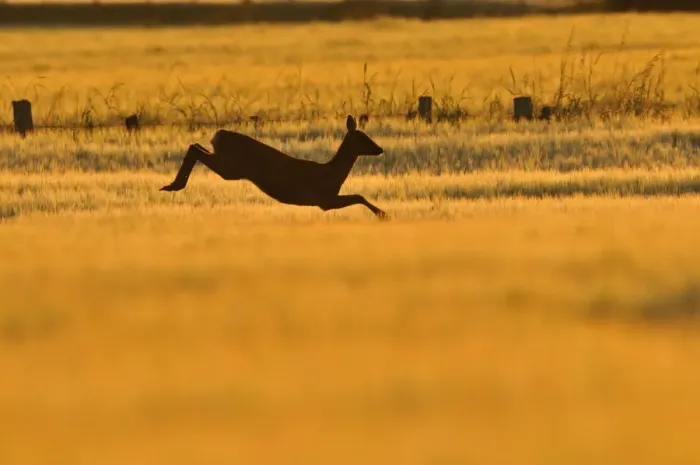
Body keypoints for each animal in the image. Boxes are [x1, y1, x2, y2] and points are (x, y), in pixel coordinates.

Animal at [160, 115, 388, 219]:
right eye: (363, 138)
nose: (380, 149)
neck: (332, 174)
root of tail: (218, 135)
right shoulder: (324, 199)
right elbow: (358, 195)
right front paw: (382, 213)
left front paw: (381, 212)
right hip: (231, 167)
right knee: (195, 149)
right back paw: (175, 185)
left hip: (226, 162)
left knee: (195, 146)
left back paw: (172, 185)